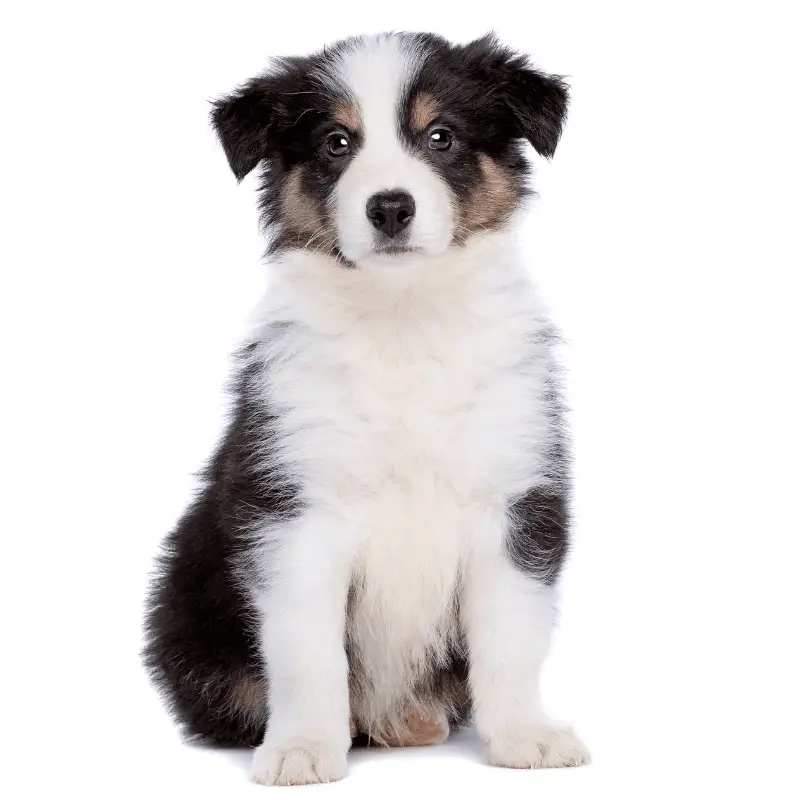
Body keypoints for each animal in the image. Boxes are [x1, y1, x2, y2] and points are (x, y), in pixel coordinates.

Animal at [144, 32, 592, 788]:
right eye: (335, 143)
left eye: (441, 137)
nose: (389, 208)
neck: (402, 320)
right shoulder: (292, 509)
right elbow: (308, 651)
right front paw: (302, 749)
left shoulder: (514, 496)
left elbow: (511, 636)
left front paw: (524, 736)